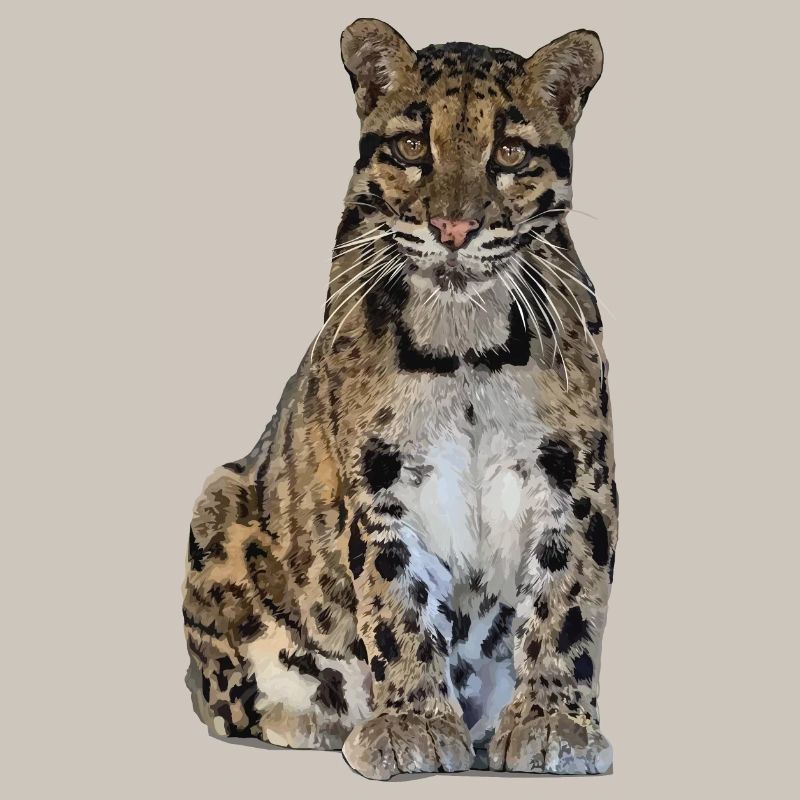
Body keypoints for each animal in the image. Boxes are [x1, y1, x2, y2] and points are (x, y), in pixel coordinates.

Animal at [182, 18, 617, 780]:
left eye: (509, 152)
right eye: (414, 146)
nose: (453, 230)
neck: (466, 344)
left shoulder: (575, 475)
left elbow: (567, 599)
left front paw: (553, 721)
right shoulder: (379, 478)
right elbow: (397, 601)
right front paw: (412, 722)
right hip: (218, 501)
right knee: (230, 697)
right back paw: (321, 718)